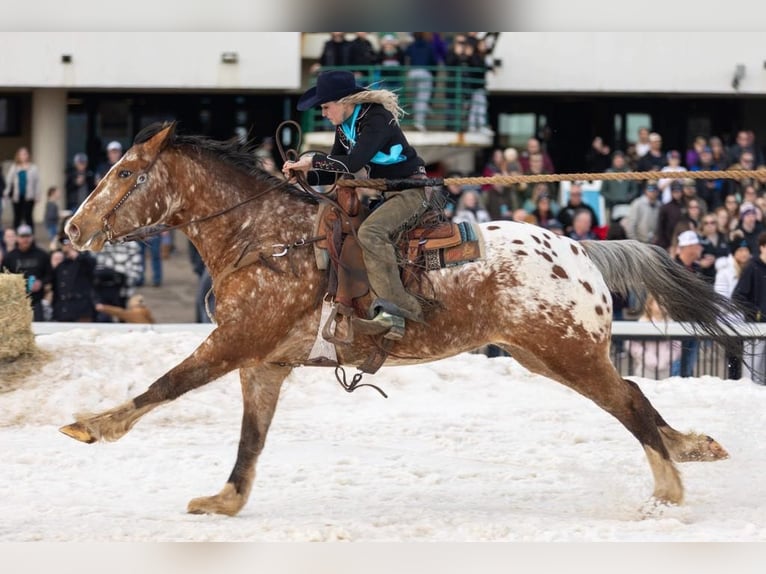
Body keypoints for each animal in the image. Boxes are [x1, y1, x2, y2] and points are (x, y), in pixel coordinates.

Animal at [63, 121, 740, 516]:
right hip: (543, 355)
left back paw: (667, 488)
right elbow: (251, 438)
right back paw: (690, 449)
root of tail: (580, 249)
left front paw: (93, 425)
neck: (265, 236)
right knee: (631, 396)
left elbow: (168, 383)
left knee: (626, 401)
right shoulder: (265, 363)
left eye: (125, 173)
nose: (72, 228)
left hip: (567, 351)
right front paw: (226, 499)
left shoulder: (236, 340)